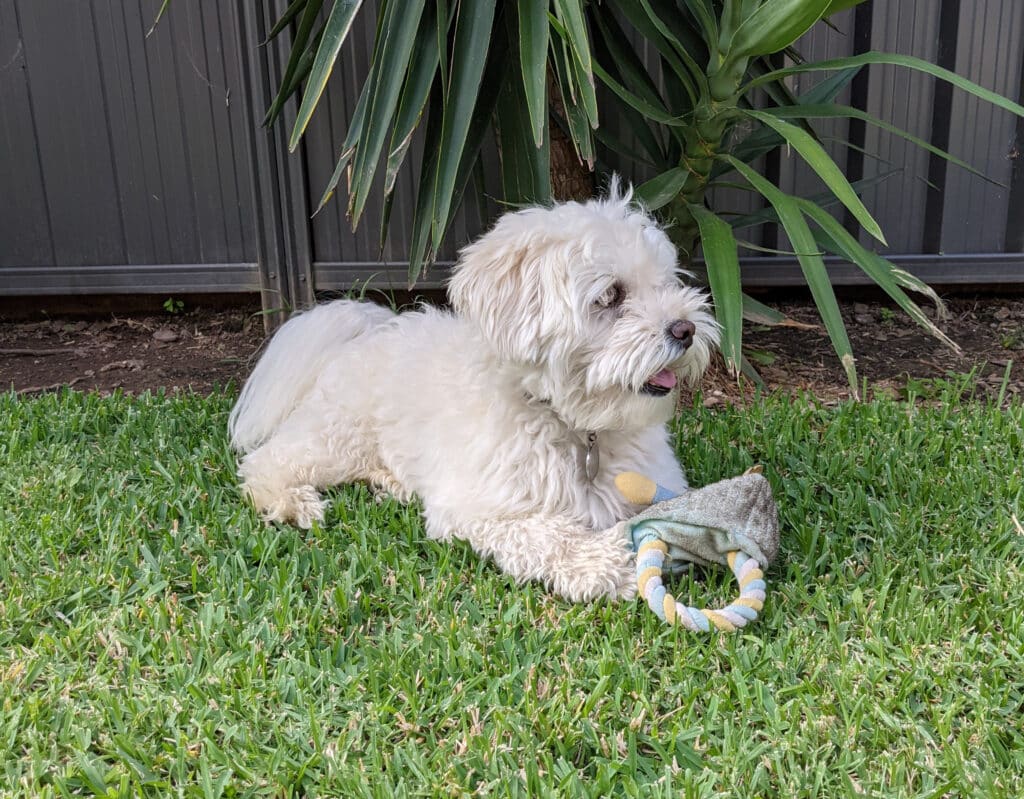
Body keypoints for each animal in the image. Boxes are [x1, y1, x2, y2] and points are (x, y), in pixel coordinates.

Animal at [228, 185, 716, 598]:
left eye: (667, 282)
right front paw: (605, 562)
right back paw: (291, 502)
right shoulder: (483, 507)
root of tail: (373, 326)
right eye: (611, 295)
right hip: (336, 438)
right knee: (267, 461)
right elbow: (547, 534)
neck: (574, 424)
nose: (686, 329)